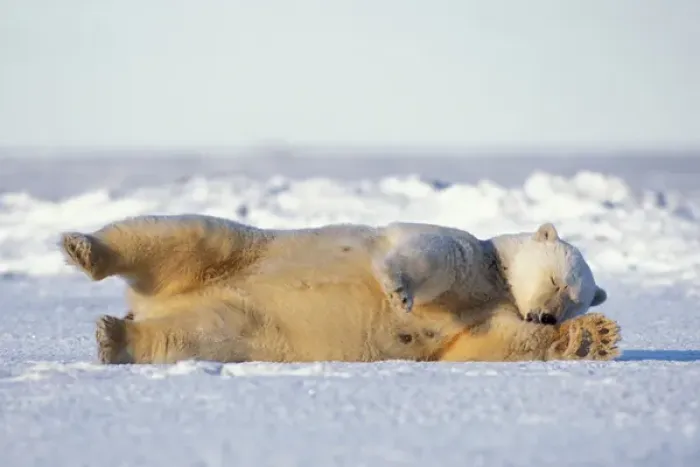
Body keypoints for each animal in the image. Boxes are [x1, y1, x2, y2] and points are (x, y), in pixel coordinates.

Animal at [58, 214, 620, 364]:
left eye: (573, 300)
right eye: (555, 281)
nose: (546, 315)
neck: (497, 280)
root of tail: (148, 303)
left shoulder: (486, 312)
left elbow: (485, 343)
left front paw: (596, 337)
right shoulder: (471, 256)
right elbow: (427, 252)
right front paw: (398, 292)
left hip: (239, 325)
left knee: (189, 335)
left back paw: (115, 337)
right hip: (244, 250)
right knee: (184, 234)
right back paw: (83, 248)